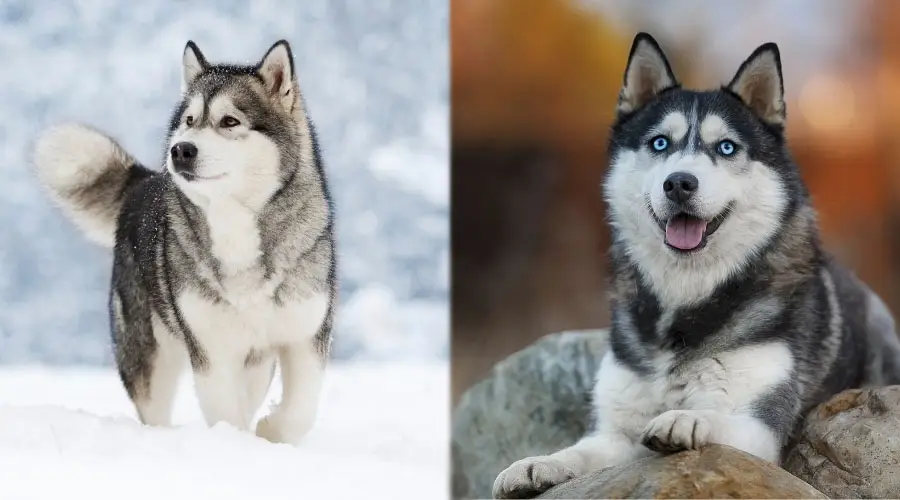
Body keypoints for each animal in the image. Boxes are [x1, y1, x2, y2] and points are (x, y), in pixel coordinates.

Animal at [31, 40, 336, 446]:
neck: (234, 226)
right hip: (150, 353)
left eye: (229, 121)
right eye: (189, 120)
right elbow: (226, 414)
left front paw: (271, 430)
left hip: (254, 362)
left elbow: (300, 411)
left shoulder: (304, 336)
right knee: (154, 407)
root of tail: (146, 181)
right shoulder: (211, 350)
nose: (180, 150)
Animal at [492, 33, 900, 498]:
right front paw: (537, 463)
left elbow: (718, 418)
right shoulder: (614, 432)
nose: (680, 183)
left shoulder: (760, 428)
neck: (686, 298)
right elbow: (581, 452)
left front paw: (687, 418)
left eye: (726, 147)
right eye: (659, 143)